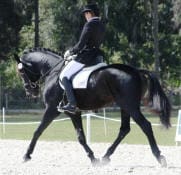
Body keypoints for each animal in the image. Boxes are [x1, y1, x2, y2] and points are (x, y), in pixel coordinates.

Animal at [14, 47, 170, 167]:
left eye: (21, 72)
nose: (30, 92)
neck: (53, 71)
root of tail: (136, 71)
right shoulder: (74, 113)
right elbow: (81, 137)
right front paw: (93, 158)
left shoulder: (52, 109)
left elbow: (37, 131)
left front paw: (26, 155)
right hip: (125, 107)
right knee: (124, 129)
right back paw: (105, 157)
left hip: (130, 106)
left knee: (146, 125)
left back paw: (160, 157)